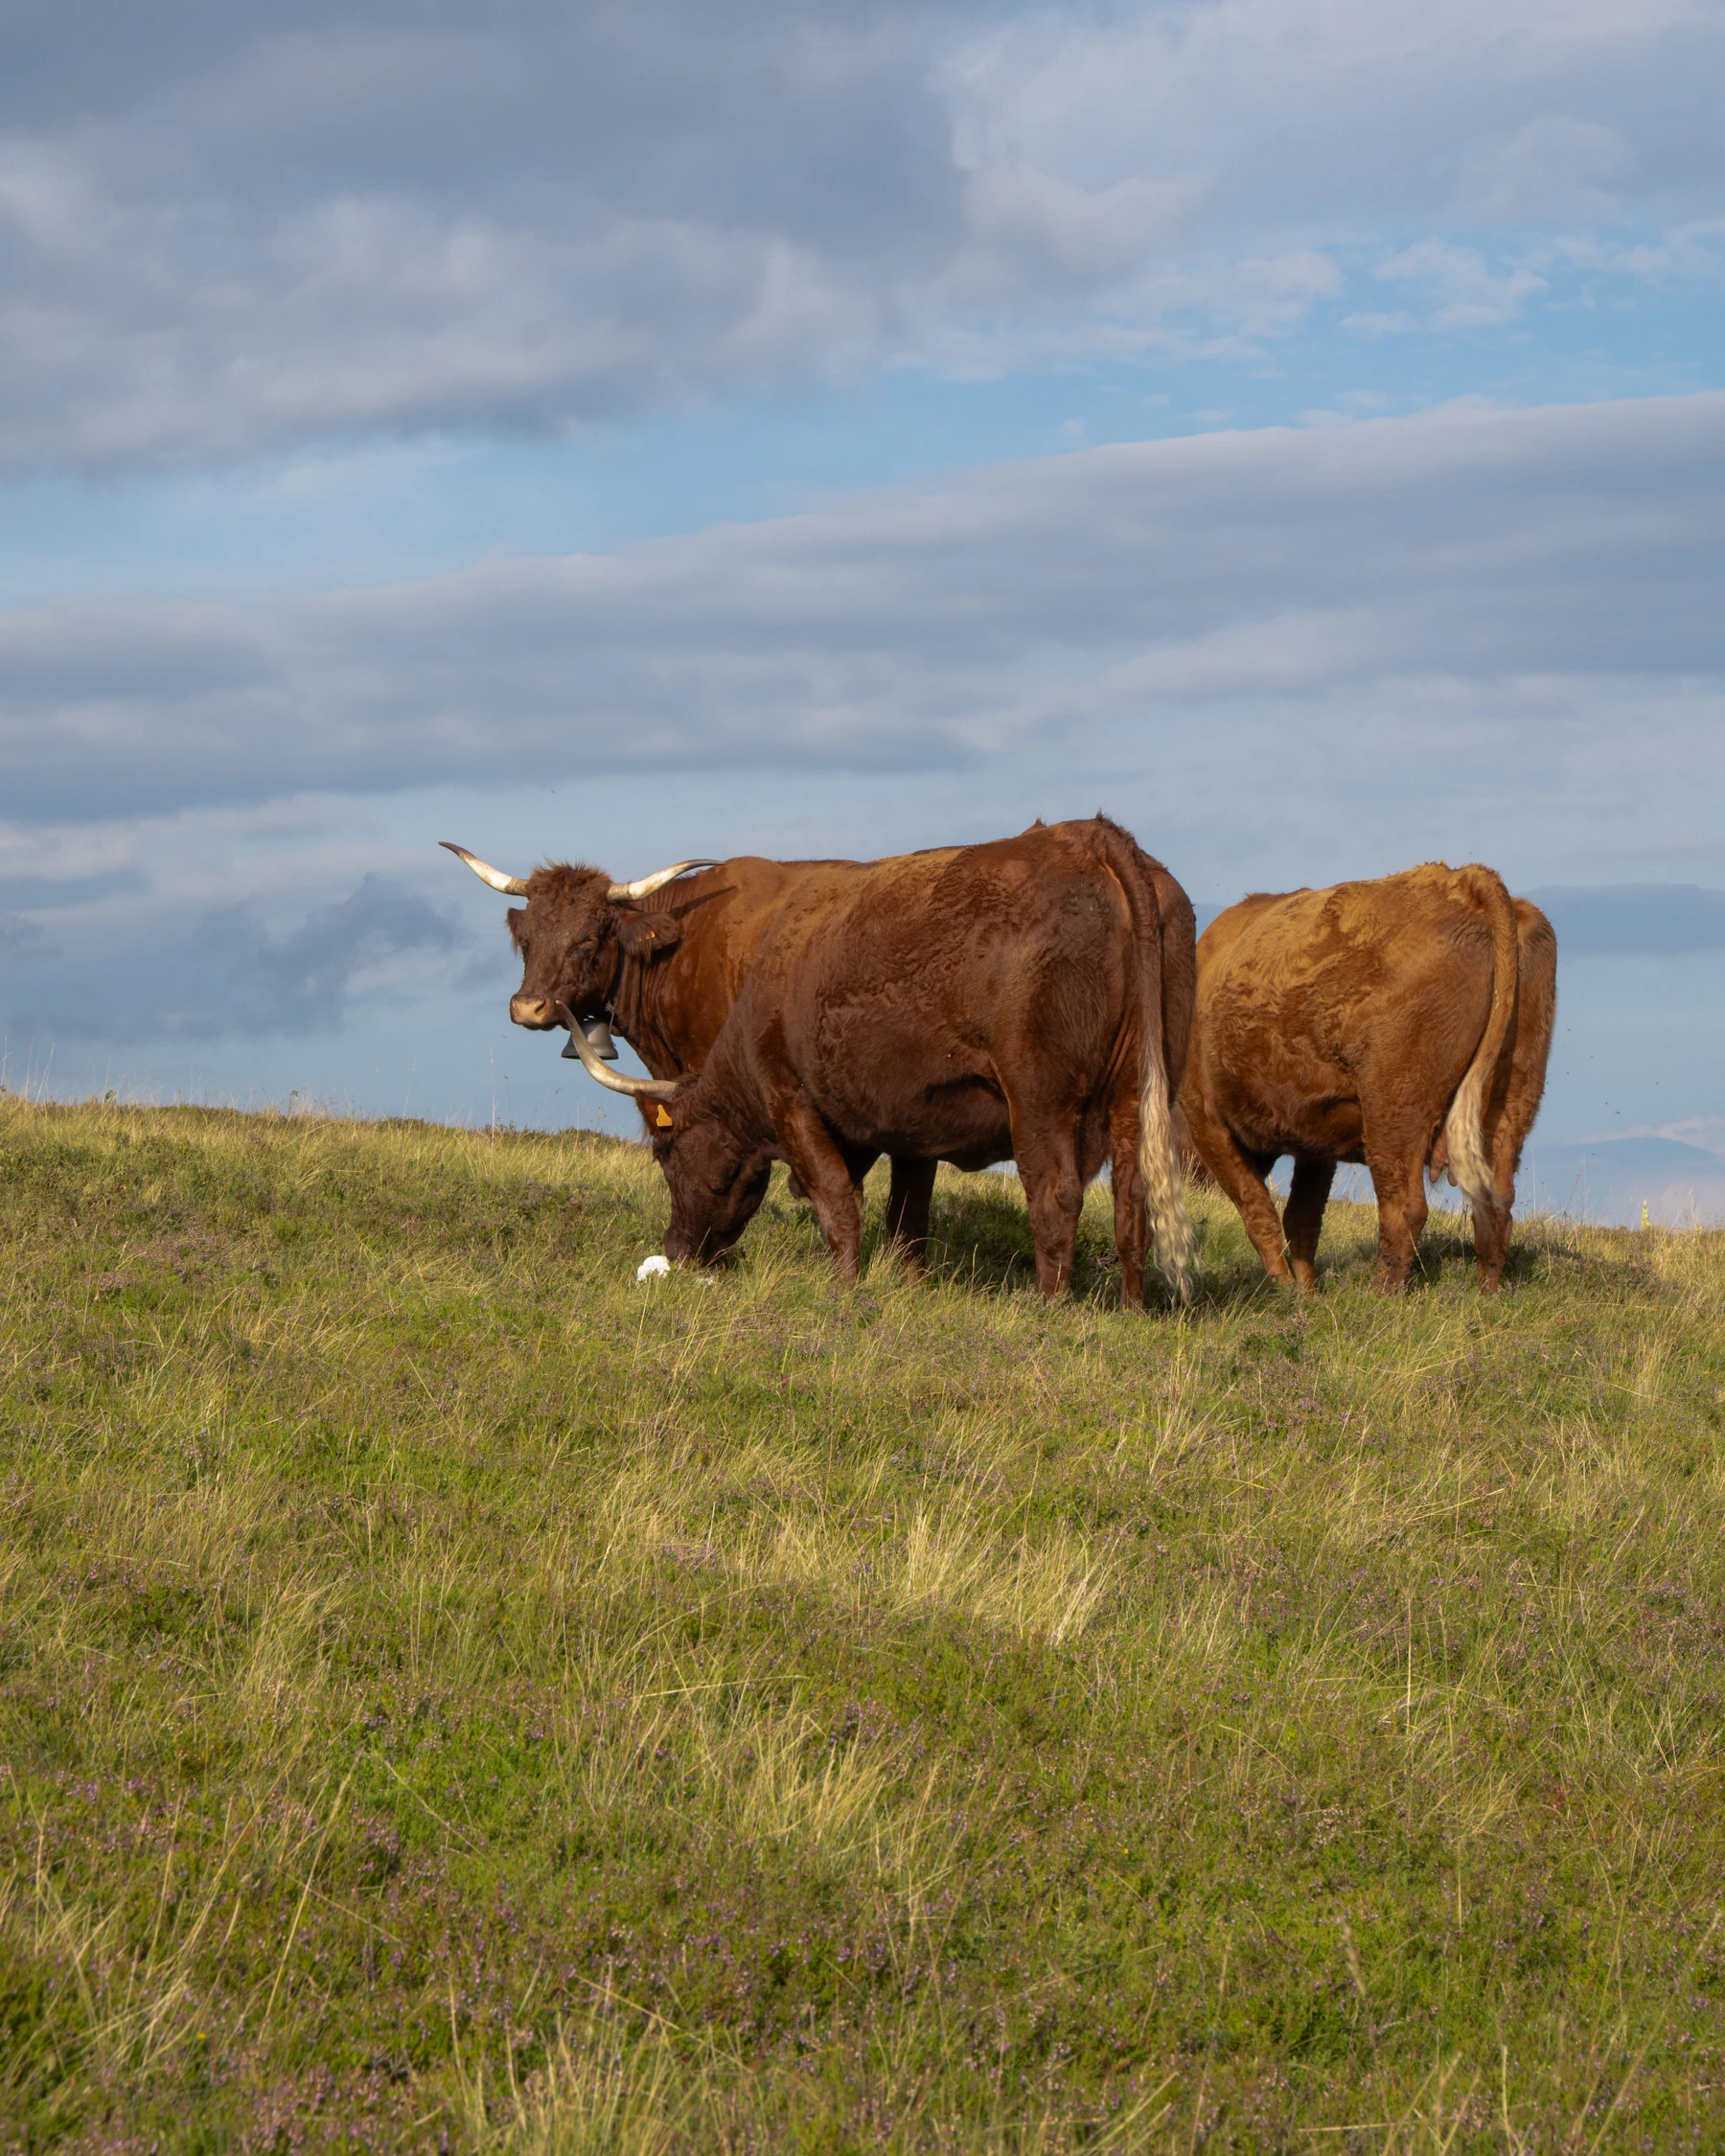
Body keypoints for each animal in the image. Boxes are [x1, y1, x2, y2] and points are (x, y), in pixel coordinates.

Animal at [557, 816, 1199, 1307]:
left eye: (665, 1154)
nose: (677, 1251)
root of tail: (1088, 834)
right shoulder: (918, 1130)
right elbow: (906, 1218)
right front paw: (910, 1287)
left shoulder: (791, 1102)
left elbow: (839, 1203)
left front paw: (845, 1289)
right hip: (1137, 1091)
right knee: (1133, 1198)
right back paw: (1131, 1308)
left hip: (1041, 1098)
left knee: (1055, 1194)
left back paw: (1047, 1306)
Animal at [1178, 863, 1554, 1296]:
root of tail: (1463, 880)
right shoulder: (1315, 1144)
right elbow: (1301, 1218)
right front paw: (1307, 1296)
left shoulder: (1207, 1121)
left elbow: (1260, 1214)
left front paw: (1286, 1292)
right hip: (1511, 1101)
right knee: (1495, 1205)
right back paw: (1485, 1295)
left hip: (1394, 1109)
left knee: (1404, 1207)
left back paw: (1381, 1296)